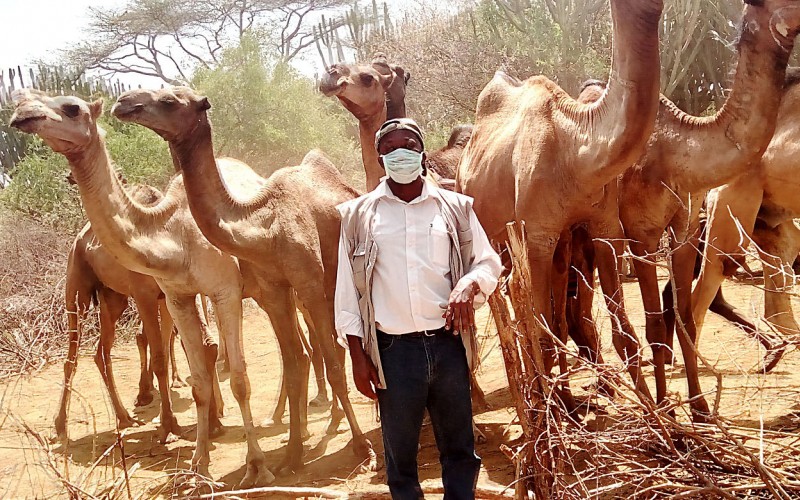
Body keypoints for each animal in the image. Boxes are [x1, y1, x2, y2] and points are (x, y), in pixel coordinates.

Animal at [8, 91, 276, 488]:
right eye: (27, 99)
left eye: (72, 108)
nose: (22, 114)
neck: (174, 233)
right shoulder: (175, 295)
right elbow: (193, 373)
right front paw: (197, 460)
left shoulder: (219, 292)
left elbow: (236, 375)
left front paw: (256, 464)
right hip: (86, 292)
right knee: (82, 354)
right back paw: (74, 423)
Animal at [110, 85, 382, 468]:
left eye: (169, 101)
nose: (123, 103)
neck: (264, 227)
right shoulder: (274, 287)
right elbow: (294, 362)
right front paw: (292, 454)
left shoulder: (309, 282)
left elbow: (329, 361)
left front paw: (362, 447)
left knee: (339, 347)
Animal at [456, 0, 664, 406]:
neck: (573, 150)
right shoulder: (535, 236)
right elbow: (540, 333)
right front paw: (554, 420)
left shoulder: (604, 226)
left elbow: (623, 334)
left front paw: (662, 418)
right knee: (517, 312)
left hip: (558, 247)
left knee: (559, 318)